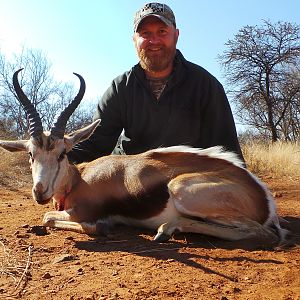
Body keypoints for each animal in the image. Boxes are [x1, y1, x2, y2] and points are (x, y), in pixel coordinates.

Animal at [0, 68, 288, 244]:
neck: (78, 179)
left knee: (263, 233)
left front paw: (103, 226)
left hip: (182, 189)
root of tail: (263, 197)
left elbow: (49, 218)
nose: (39, 192)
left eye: (62, 154)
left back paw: (165, 230)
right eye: (30, 154)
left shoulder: (82, 212)